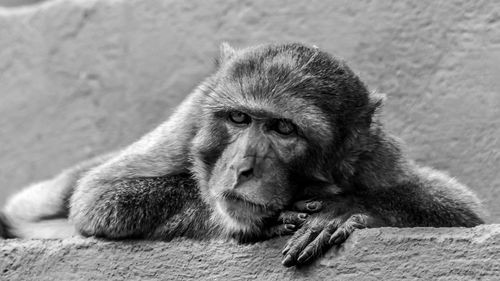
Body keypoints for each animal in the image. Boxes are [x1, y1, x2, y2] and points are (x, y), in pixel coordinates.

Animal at [0, 42, 484, 266]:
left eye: (284, 128)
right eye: (238, 118)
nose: (241, 166)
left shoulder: (372, 152)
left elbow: (463, 211)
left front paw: (346, 210)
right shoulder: (195, 111)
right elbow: (98, 198)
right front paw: (257, 221)